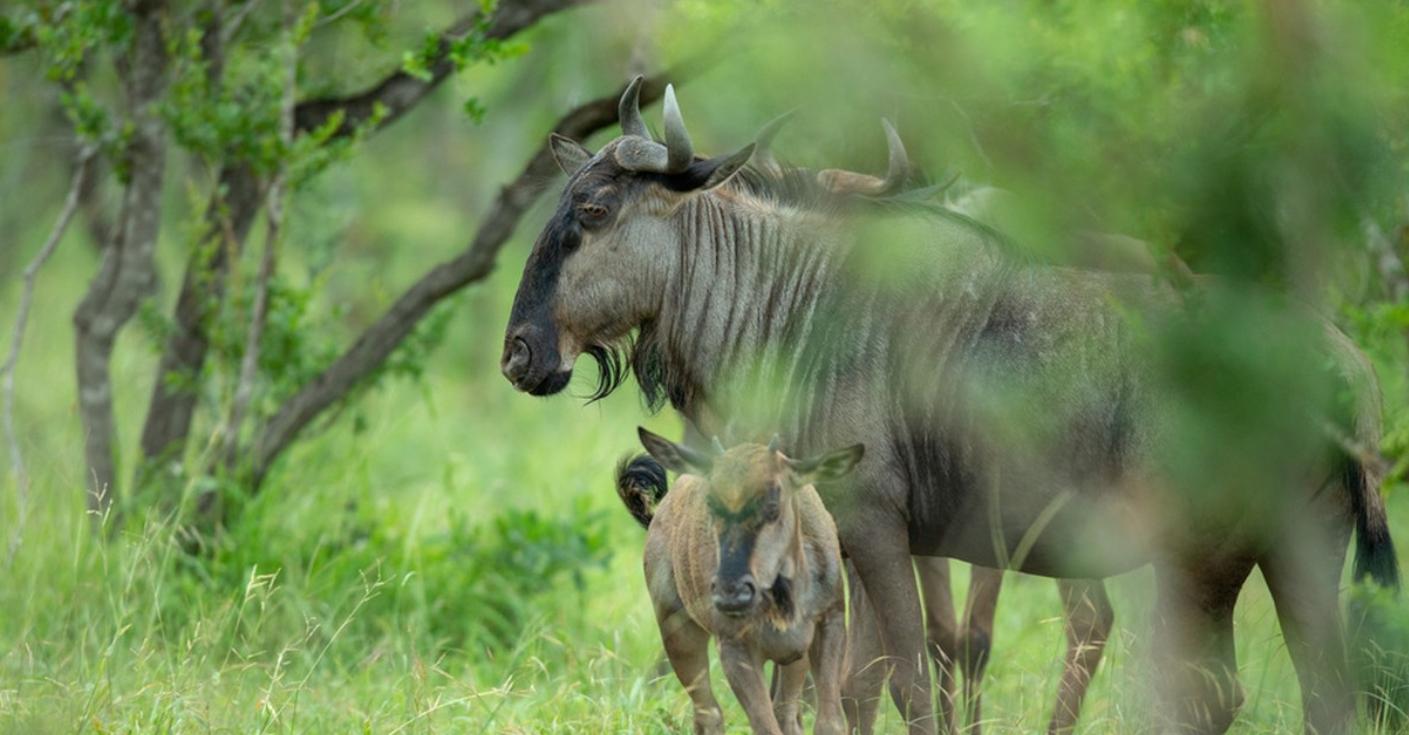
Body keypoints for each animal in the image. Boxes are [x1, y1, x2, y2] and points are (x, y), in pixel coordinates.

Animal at [622, 425, 862, 726]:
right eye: (710, 503)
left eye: (773, 503)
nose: (731, 593)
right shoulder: (735, 648)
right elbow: (764, 723)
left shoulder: (829, 624)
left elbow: (828, 722)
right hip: (677, 631)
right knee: (709, 713)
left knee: (784, 711)